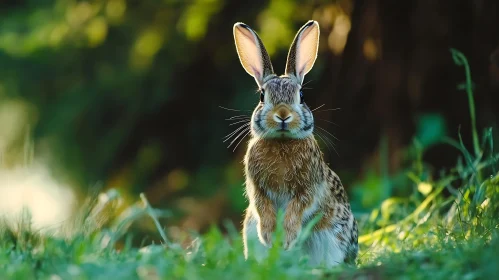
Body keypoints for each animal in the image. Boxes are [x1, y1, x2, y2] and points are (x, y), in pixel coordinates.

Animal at [234, 20, 360, 266]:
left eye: (301, 96)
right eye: (262, 96)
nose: (283, 115)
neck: (282, 142)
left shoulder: (308, 187)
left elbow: (298, 207)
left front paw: (287, 238)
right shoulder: (257, 188)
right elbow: (262, 205)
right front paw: (270, 236)